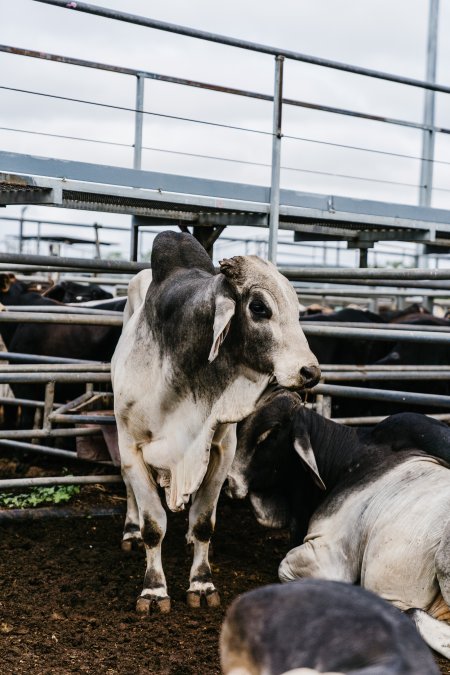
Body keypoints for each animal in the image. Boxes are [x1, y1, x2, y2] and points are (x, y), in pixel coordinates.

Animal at [111, 231, 320, 612]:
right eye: (259, 307)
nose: (310, 372)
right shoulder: (132, 445)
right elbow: (153, 526)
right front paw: (153, 590)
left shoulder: (221, 447)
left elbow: (204, 521)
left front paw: (202, 583)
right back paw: (130, 530)